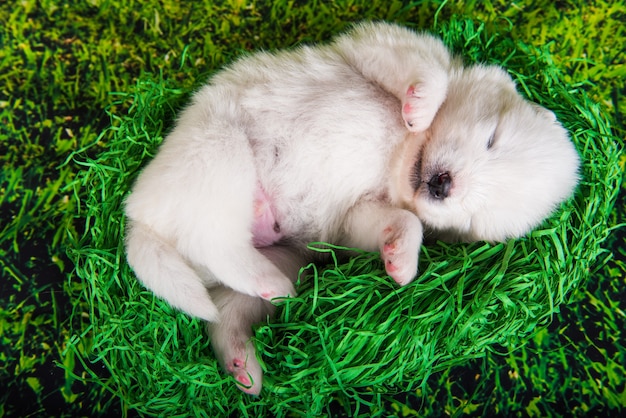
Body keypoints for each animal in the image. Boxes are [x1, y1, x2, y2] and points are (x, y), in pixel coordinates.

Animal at [124, 22, 576, 396]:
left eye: (474, 215)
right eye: (491, 139)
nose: (443, 185)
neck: (401, 156)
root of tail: (141, 220)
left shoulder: (357, 217)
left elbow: (405, 221)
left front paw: (400, 262)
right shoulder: (379, 44)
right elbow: (431, 74)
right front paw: (421, 106)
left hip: (285, 253)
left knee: (224, 305)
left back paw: (246, 360)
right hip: (221, 152)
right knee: (209, 240)